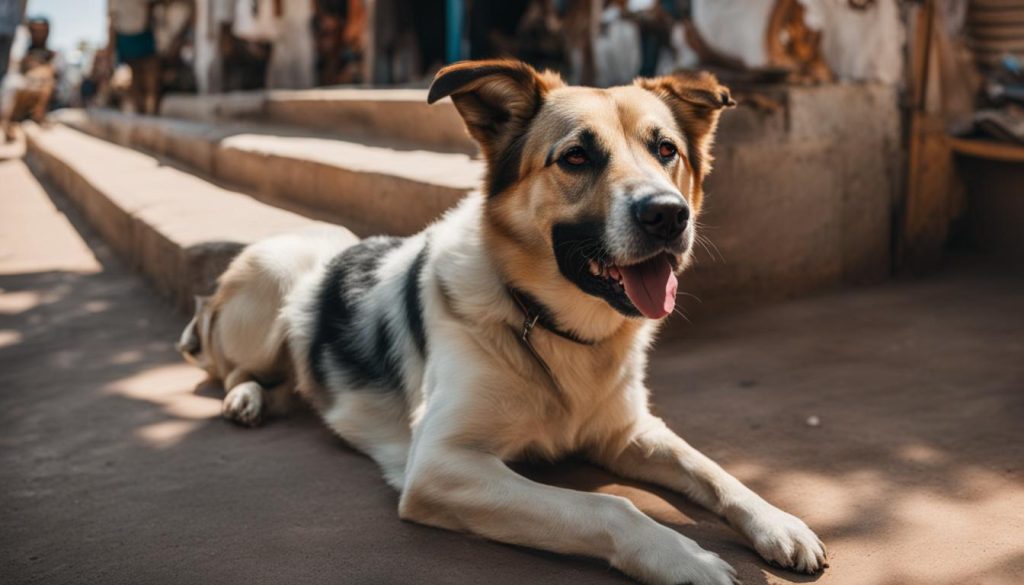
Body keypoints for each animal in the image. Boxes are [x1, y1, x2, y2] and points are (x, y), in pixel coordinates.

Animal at [184, 60, 827, 585]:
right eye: (575, 156)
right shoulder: (440, 465)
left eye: (665, 150)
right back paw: (245, 398)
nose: (669, 215)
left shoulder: (629, 433)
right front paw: (681, 557)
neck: (553, 327)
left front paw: (777, 521)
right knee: (231, 369)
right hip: (271, 292)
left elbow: (714, 469)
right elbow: (608, 505)